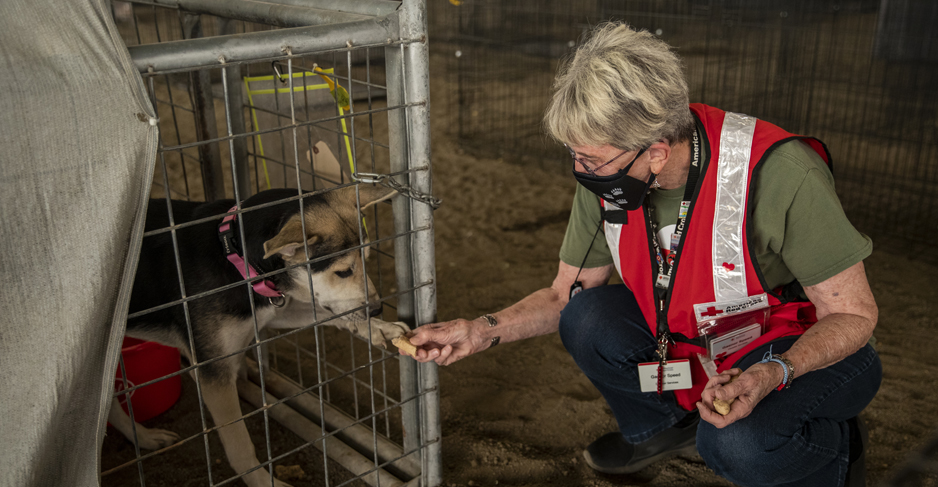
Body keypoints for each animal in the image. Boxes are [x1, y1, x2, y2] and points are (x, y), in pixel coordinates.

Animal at [108, 185, 408, 486]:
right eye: (343, 271)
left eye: (367, 260)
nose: (377, 308)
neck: (233, 255)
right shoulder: (212, 373)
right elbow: (240, 446)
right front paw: (264, 481)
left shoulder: (270, 312)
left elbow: (325, 312)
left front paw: (377, 327)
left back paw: (144, 437)